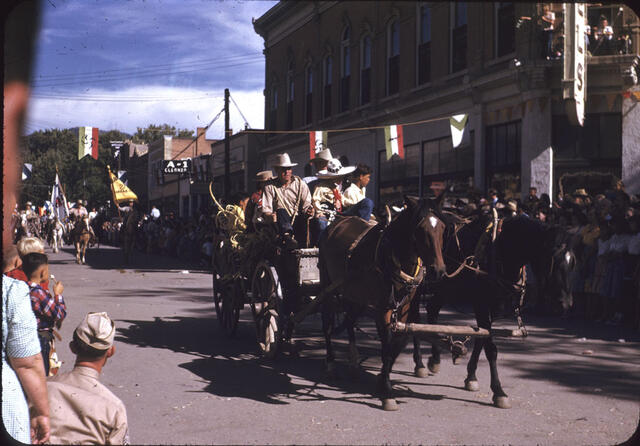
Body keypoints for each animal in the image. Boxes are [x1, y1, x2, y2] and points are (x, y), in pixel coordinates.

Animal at [318, 195, 444, 412]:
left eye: (443, 228)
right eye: (420, 229)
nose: (439, 271)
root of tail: (337, 221)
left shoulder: (405, 307)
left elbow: (398, 343)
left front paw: (382, 380)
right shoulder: (382, 308)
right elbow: (387, 344)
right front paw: (387, 392)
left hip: (355, 294)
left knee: (350, 320)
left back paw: (353, 363)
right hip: (328, 285)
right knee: (327, 322)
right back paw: (331, 363)